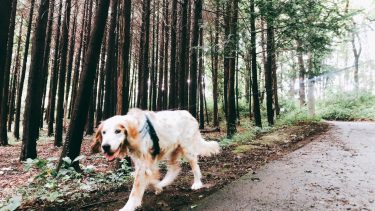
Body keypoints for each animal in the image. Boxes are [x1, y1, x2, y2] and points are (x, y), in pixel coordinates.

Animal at [91, 109, 220, 211]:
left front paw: (128, 207)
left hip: (187, 149)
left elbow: (135, 189)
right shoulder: (143, 162)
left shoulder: (143, 163)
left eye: (117, 131)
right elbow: (151, 178)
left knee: (195, 166)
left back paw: (197, 183)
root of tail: (190, 115)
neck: (136, 131)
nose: (105, 146)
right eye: (103, 132)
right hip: (173, 150)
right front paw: (157, 187)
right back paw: (163, 183)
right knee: (174, 168)